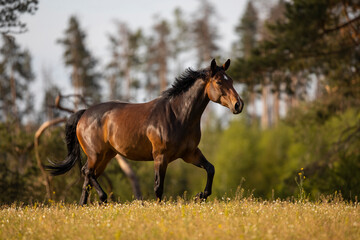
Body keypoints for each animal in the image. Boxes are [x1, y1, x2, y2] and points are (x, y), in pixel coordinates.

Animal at [44, 58, 242, 204]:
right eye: (219, 82)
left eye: (231, 80)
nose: (238, 104)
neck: (178, 115)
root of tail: (84, 113)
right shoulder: (161, 156)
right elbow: (158, 187)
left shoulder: (190, 153)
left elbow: (210, 169)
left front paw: (200, 196)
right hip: (95, 154)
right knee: (87, 173)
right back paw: (103, 198)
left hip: (106, 156)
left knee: (87, 178)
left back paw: (84, 206)